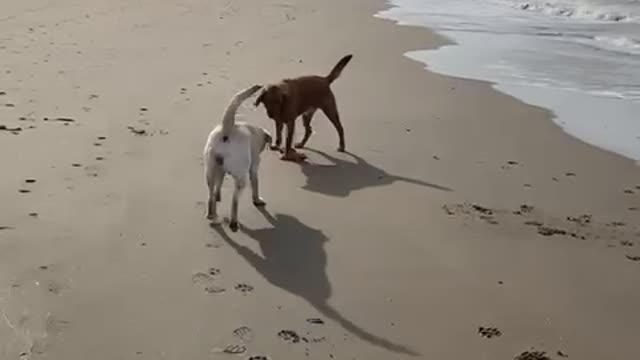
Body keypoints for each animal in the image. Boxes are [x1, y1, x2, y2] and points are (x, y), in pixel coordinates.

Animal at [204, 84, 272, 231]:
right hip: (241, 179)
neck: (255, 132)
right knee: (234, 202)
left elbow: (219, 185)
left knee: (210, 195)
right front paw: (257, 200)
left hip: (210, 171)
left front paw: (218, 196)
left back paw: (212, 215)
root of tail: (226, 130)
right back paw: (233, 222)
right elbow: (255, 184)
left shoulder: (221, 170)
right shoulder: (253, 167)